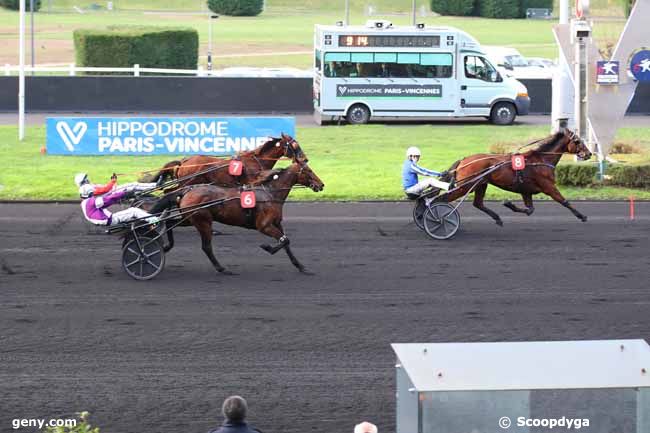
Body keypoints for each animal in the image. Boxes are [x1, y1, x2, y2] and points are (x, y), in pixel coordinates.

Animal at [140, 133, 308, 187]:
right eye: (294, 145)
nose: (305, 159)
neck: (256, 159)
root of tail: (184, 162)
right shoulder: (252, 179)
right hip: (188, 183)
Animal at [159, 162, 322, 274]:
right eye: (309, 170)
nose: (321, 185)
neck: (270, 193)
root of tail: (187, 191)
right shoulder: (264, 226)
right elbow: (284, 240)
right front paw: (267, 247)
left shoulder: (276, 224)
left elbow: (286, 242)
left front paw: (301, 266)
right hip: (203, 221)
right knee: (206, 247)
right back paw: (222, 268)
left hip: (189, 219)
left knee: (169, 222)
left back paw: (167, 246)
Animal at [438, 128, 588, 226]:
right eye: (578, 141)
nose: (589, 153)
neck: (542, 159)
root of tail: (463, 161)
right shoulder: (548, 186)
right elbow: (564, 201)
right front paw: (582, 216)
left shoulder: (526, 191)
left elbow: (530, 210)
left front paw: (509, 204)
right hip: (466, 186)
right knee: (443, 199)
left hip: (480, 184)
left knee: (478, 203)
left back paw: (498, 218)